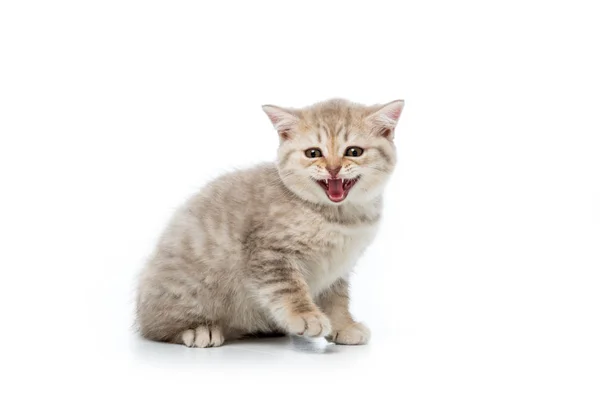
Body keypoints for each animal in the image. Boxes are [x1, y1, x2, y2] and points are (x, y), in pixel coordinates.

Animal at [136, 97, 404, 346]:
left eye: (353, 152)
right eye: (313, 153)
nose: (333, 169)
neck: (338, 217)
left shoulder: (337, 268)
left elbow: (336, 299)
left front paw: (344, 325)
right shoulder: (270, 253)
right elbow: (289, 288)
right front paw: (306, 316)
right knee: (157, 328)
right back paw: (198, 330)